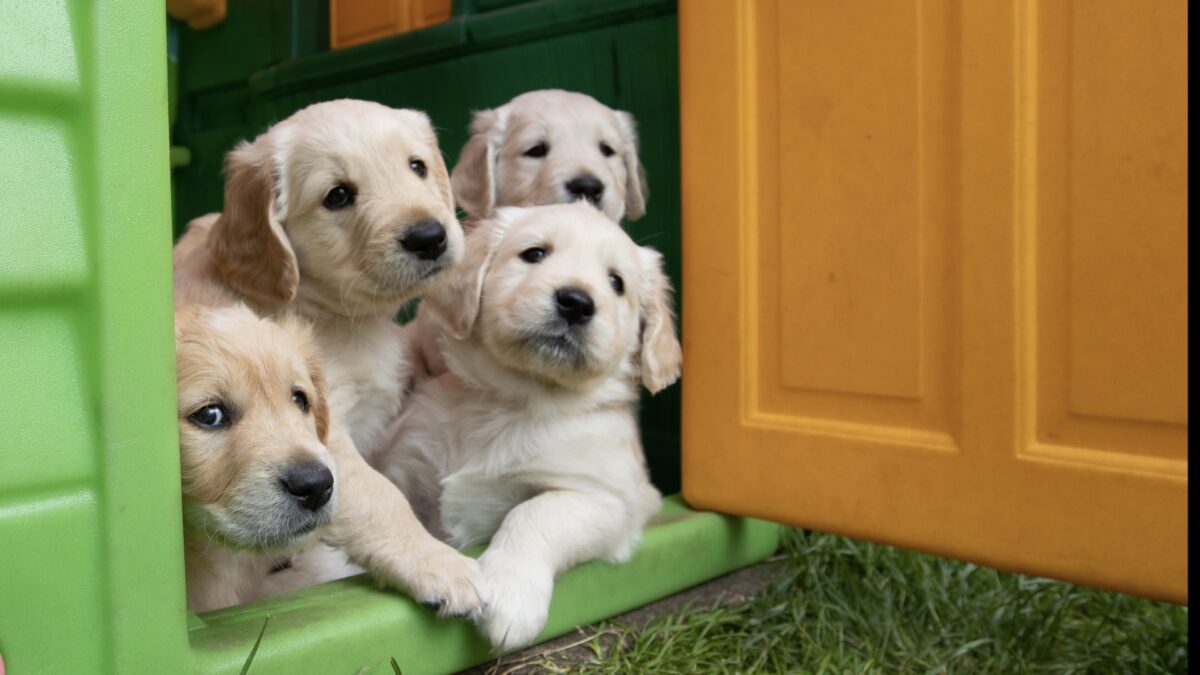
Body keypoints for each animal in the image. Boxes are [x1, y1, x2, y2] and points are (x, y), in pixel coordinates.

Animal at [374, 201, 686, 648]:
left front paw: (509, 597)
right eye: (534, 253)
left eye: (616, 282)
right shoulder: (405, 466)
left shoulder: (611, 499)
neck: (514, 399)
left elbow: (535, 512)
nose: (576, 302)